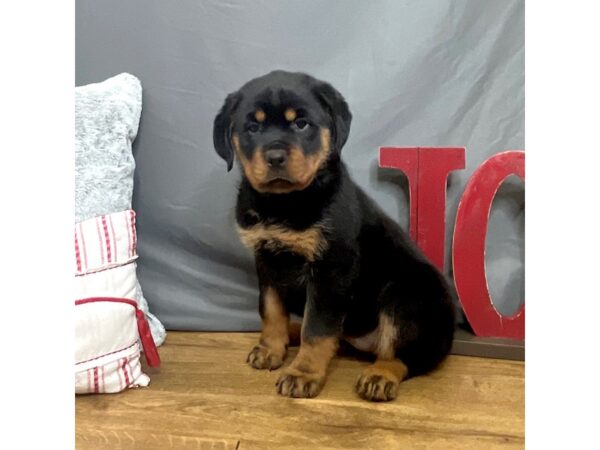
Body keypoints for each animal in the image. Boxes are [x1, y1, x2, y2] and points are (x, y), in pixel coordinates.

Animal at [213, 70, 452, 400]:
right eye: (252, 127)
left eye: (301, 124)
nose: (275, 156)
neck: (283, 202)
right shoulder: (266, 259)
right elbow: (271, 309)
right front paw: (271, 348)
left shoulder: (331, 268)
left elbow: (317, 328)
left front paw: (302, 374)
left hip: (406, 295)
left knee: (406, 355)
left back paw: (380, 375)